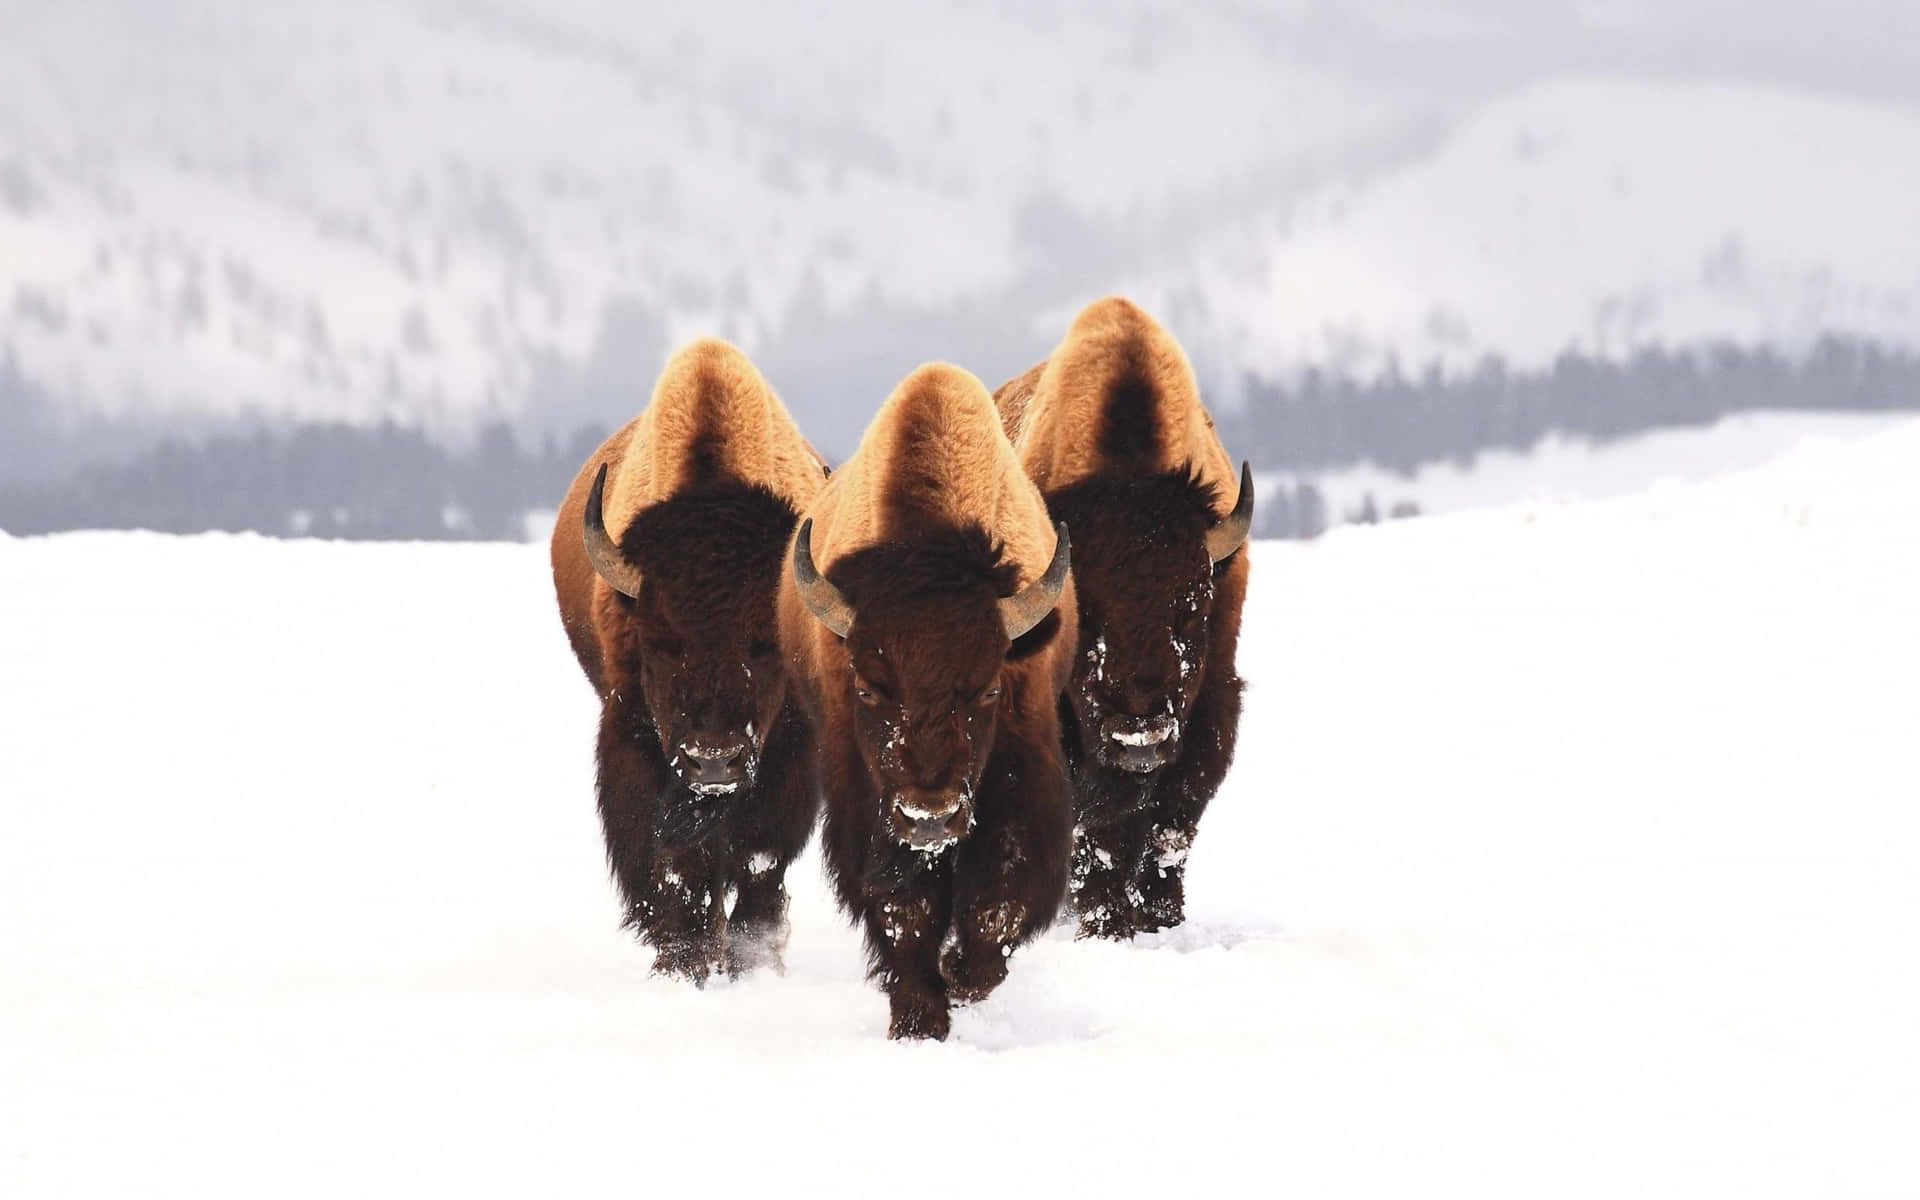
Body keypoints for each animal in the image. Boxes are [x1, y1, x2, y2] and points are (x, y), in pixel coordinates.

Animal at [552, 337, 829, 983]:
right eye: (660, 640)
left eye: (765, 643)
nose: (714, 762)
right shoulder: (635, 740)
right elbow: (676, 867)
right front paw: (684, 964)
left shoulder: (790, 757)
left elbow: (758, 861)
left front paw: (752, 963)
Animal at [779, 360, 1082, 1036]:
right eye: (868, 687)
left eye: (989, 686)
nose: (930, 818)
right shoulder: (866, 801)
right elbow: (903, 909)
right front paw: (919, 1019)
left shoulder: (1022, 775)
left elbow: (999, 899)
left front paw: (961, 977)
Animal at [990, 297, 1259, 936]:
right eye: (1085, 621)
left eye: (1193, 613)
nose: (1139, 734)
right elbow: (1098, 833)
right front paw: (1103, 922)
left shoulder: (1212, 704)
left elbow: (1170, 823)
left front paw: (1158, 918)